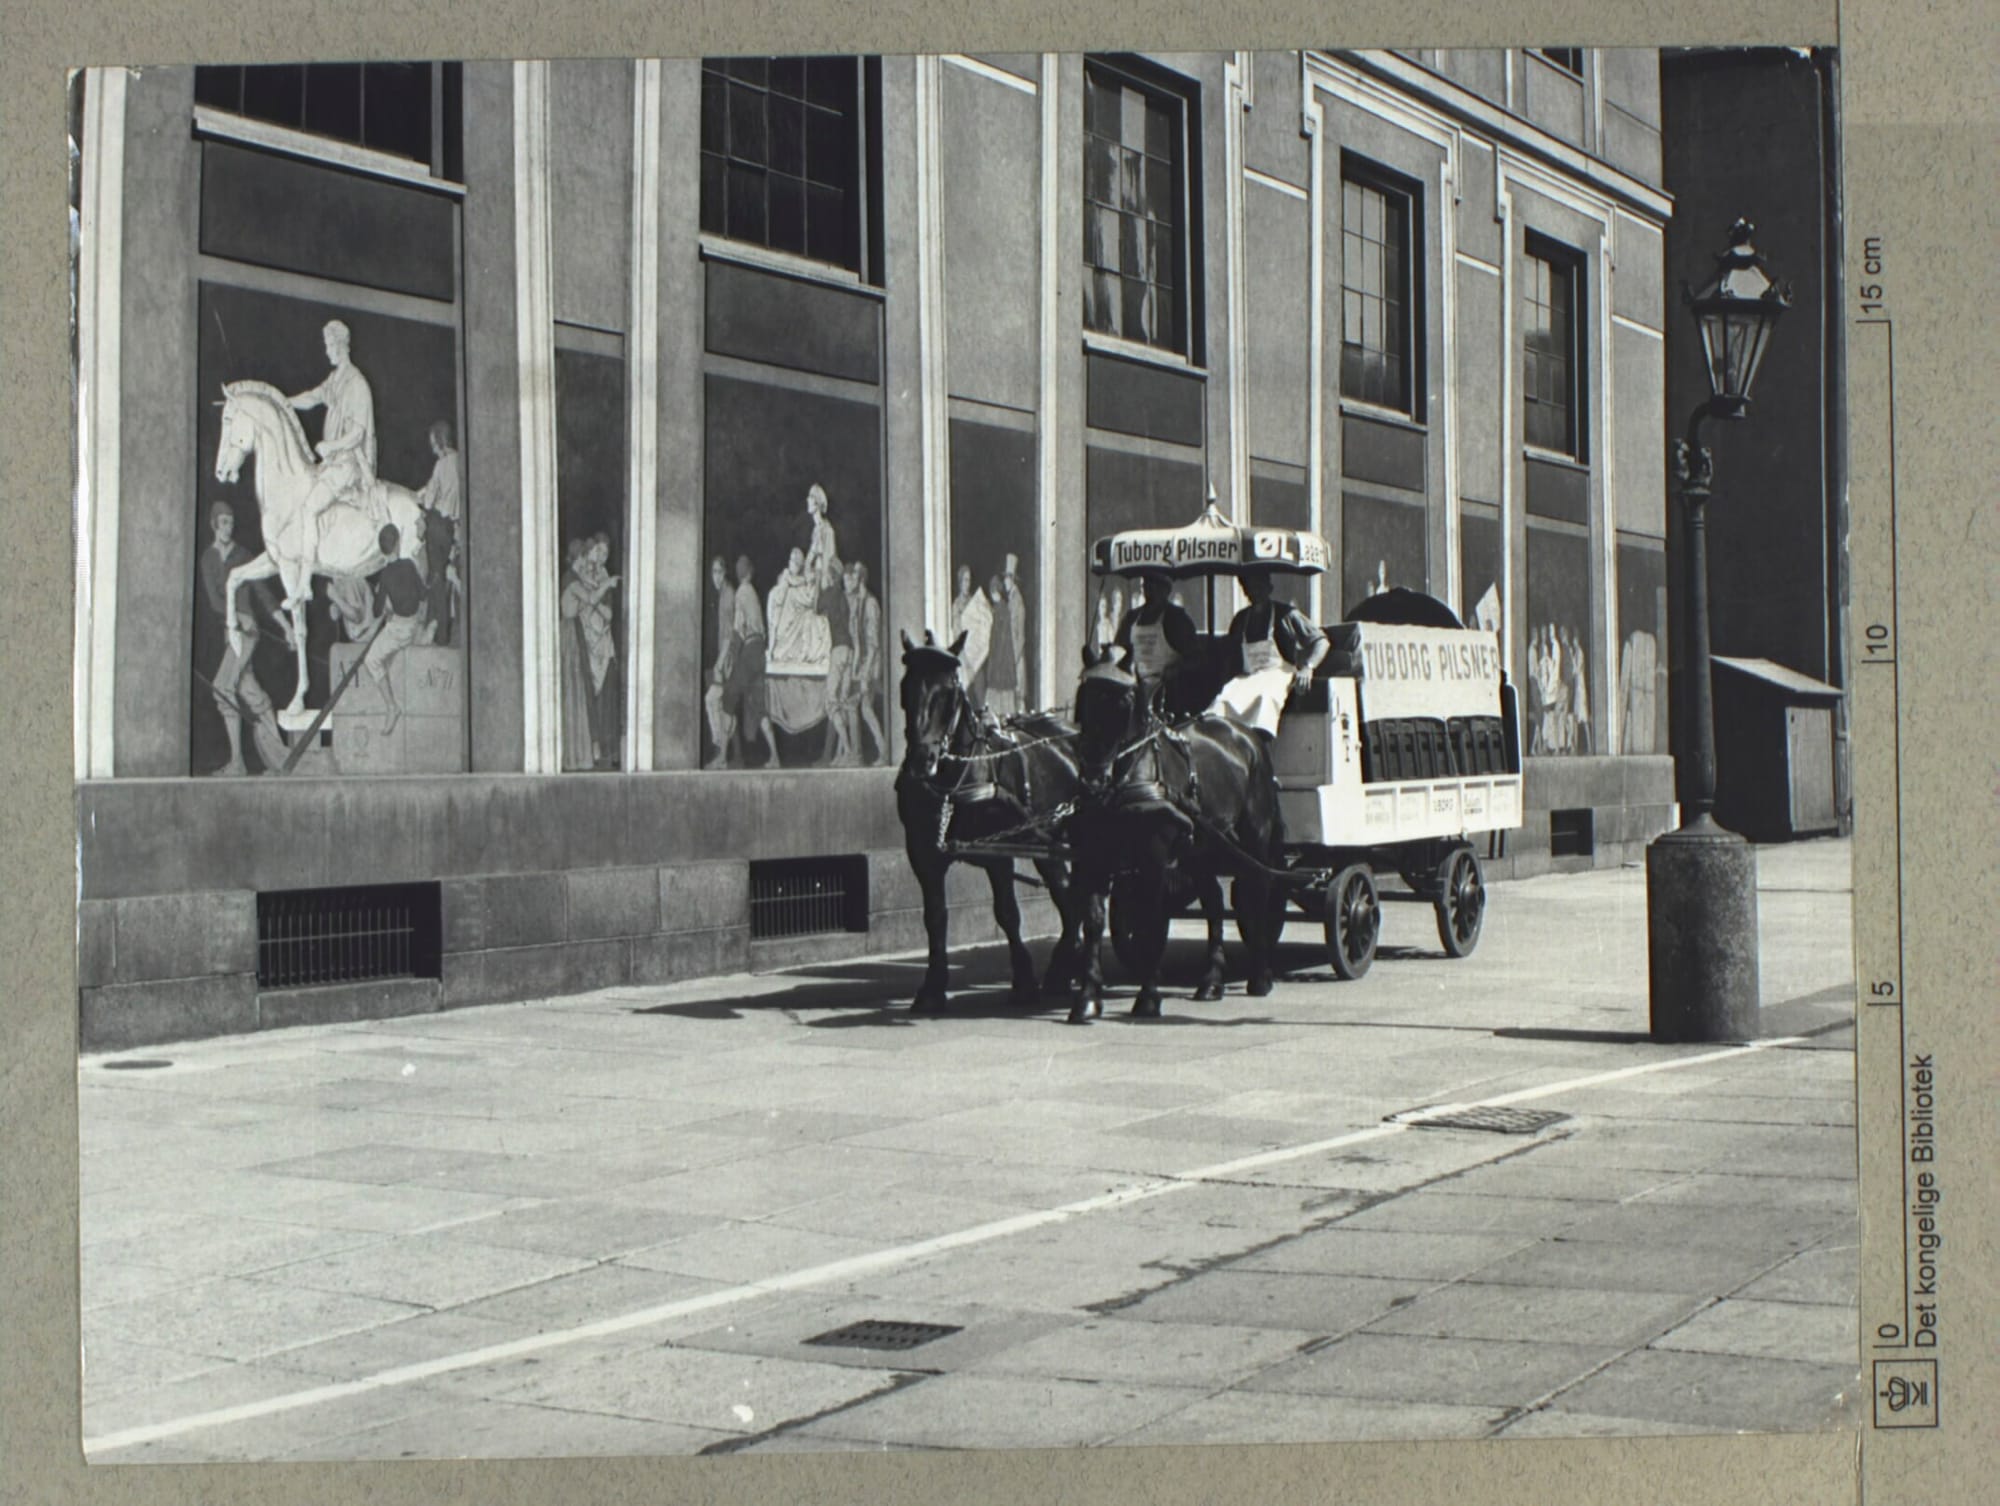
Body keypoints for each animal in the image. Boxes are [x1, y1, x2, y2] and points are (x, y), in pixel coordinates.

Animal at [904, 624, 1096, 1012]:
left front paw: (1023, 981)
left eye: (950, 693)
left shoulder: (999, 853)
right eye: (906, 687)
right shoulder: (924, 855)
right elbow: (935, 917)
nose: (921, 761)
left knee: (1074, 898)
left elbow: (1008, 913)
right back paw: (1064, 967)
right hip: (1050, 842)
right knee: (1069, 896)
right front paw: (932, 987)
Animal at [1072, 648, 1288, 1024]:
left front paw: (1148, 997)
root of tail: (1245, 735)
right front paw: (1087, 998)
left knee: (1257, 891)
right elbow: (1094, 923)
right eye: (1084, 697)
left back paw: (1260, 976)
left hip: (1254, 836)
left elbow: (1152, 921)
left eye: (1124, 701)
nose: (1093, 778)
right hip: (1202, 847)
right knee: (1214, 902)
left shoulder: (1154, 856)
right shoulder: (1095, 855)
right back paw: (1211, 981)